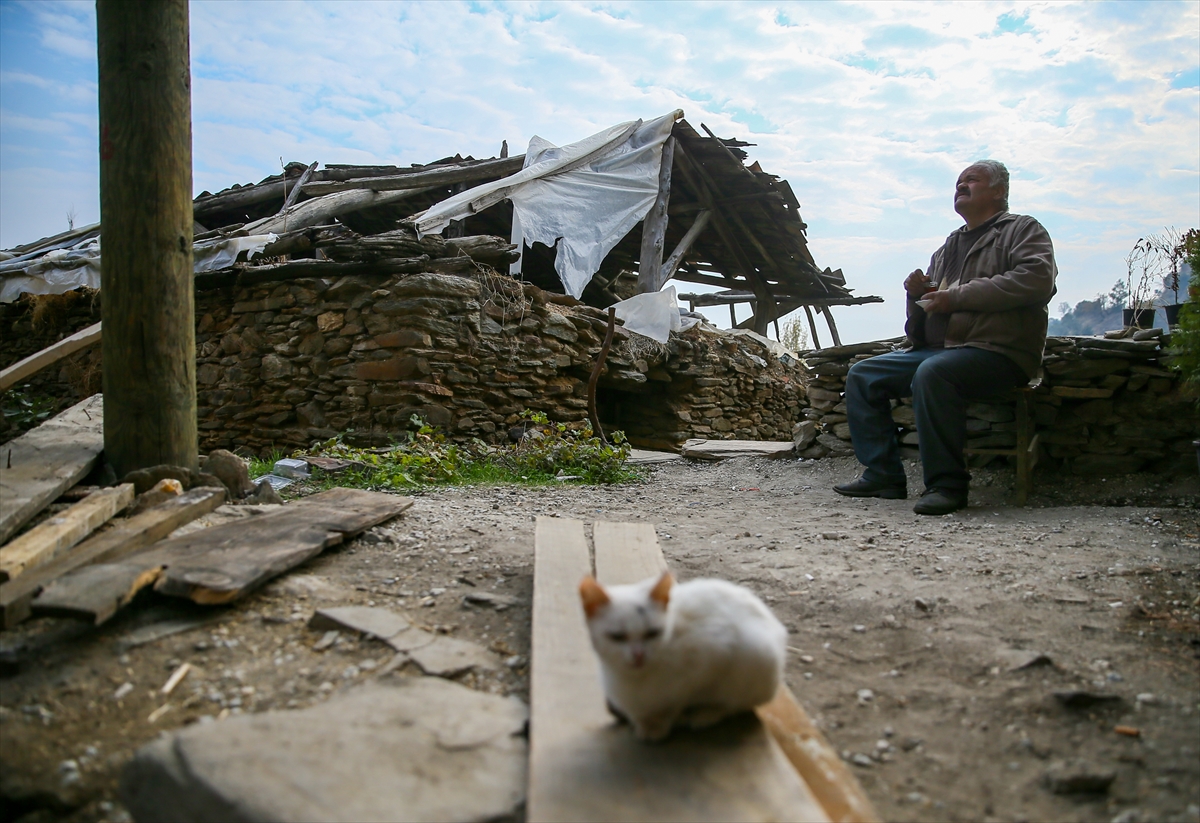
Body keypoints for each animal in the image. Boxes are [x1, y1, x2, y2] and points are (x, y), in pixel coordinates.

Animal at [578, 571, 787, 743]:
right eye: (617, 636)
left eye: (652, 633)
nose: (638, 654)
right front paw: (642, 720)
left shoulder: (711, 659)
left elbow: (676, 701)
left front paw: (658, 724)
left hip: (757, 658)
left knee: (738, 703)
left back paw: (706, 714)